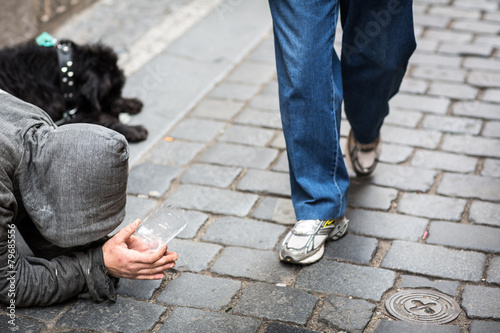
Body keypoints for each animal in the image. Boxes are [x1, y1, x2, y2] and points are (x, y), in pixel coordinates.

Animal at [0, 38, 147, 141]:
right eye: (108, 94)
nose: (117, 113)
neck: (64, 73)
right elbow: (101, 117)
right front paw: (132, 130)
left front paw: (130, 103)